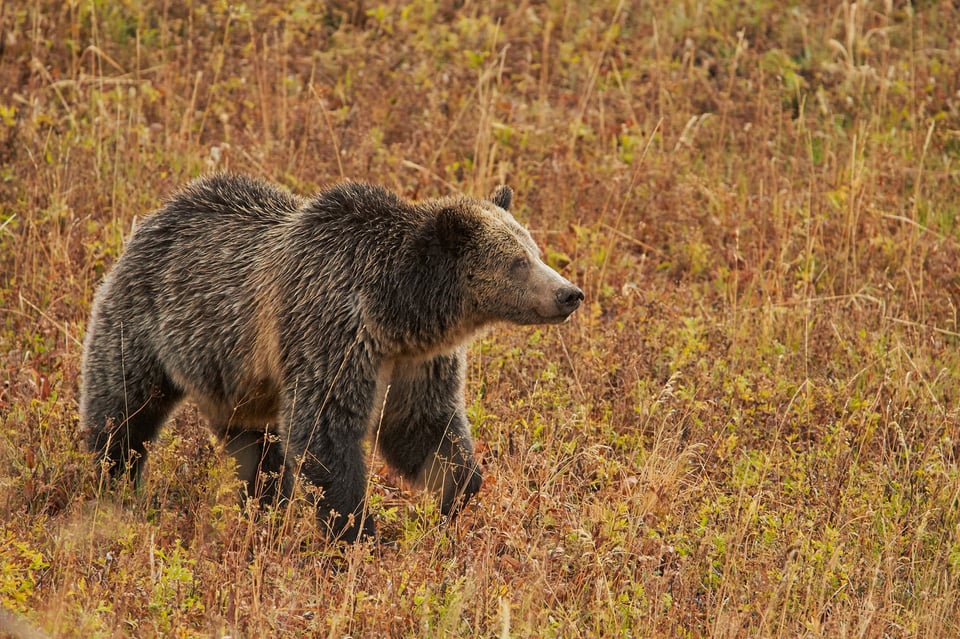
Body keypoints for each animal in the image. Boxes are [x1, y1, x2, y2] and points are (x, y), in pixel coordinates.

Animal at [80, 174, 584, 540]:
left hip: (239, 380)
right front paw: (360, 531)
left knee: (257, 448)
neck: (396, 312)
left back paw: (262, 506)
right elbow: (325, 432)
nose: (569, 293)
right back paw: (113, 478)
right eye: (518, 262)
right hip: (147, 324)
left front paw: (454, 492)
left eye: (534, 250)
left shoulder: (417, 361)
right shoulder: (333, 330)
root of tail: (158, 213)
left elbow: (421, 426)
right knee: (123, 408)